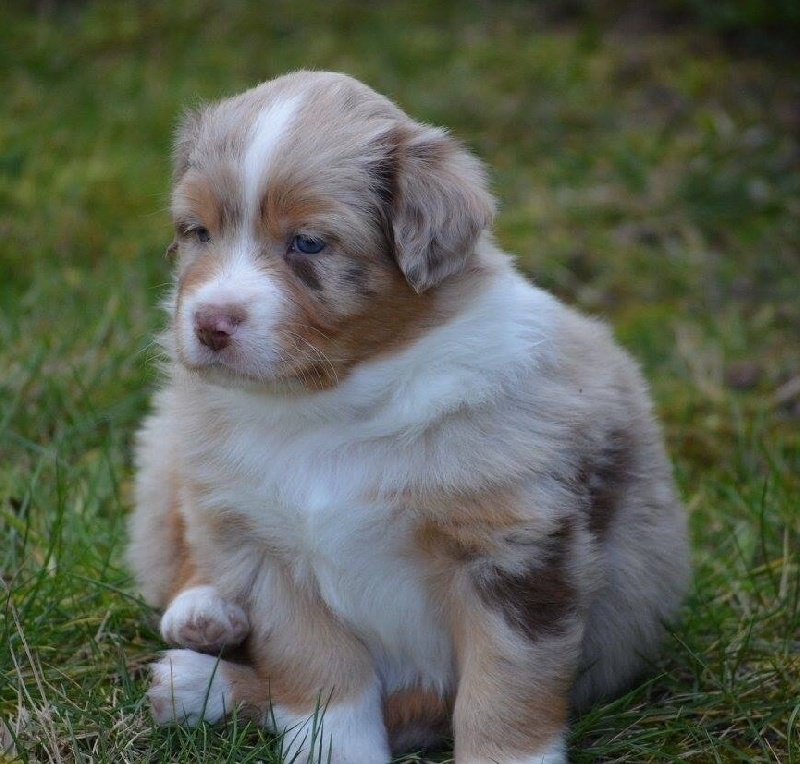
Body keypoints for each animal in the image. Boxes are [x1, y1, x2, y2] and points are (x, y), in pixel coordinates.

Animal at [128, 70, 690, 764]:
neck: (330, 405)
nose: (209, 324)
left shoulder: (516, 555)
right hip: (174, 445)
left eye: (307, 243)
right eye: (198, 231)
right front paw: (335, 752)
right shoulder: (268, 553)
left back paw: (193, 681)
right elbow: (322, 679)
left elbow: (503, 694)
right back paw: (200, 627)